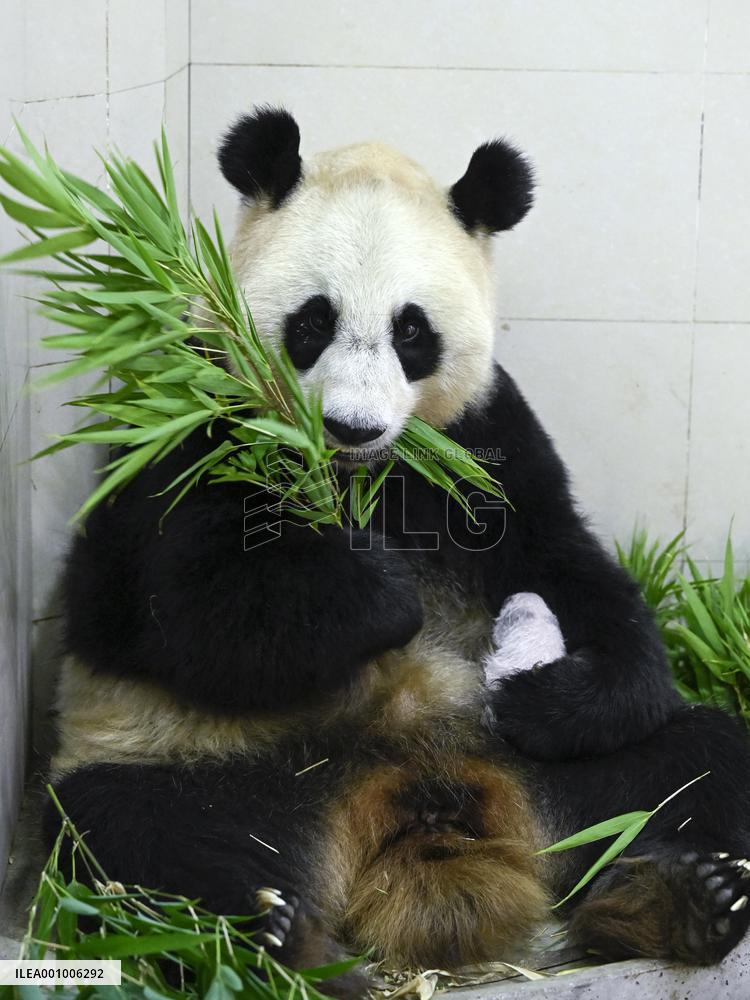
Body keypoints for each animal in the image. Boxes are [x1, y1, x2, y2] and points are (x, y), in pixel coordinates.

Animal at [48, 107, 750, 995]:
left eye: (411, 331)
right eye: (313, 321)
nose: (353, 426)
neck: (358, 477)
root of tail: (419, 811)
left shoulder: (484, 442)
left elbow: (573, 570)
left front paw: (544, 693)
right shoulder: (188, 423)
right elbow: (184, 610)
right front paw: (380, 589)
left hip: (561, 781)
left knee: (698, 764)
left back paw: (676, 900)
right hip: (215, 764)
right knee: (131, 834)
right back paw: (277, 943)